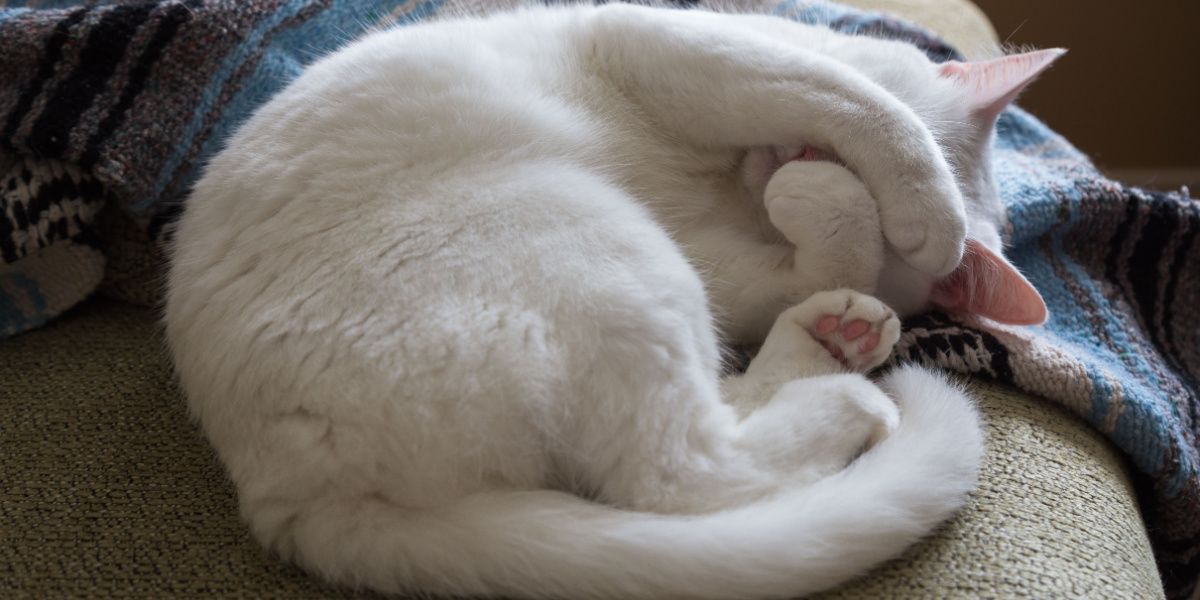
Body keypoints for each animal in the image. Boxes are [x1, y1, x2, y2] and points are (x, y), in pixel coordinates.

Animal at [162, 5, 1060, 600]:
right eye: (811, 147)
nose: (789, 165)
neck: (726, 195)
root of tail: (288, 495)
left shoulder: (729, 264)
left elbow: (823, 251)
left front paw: (846, 223)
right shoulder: (683, 50)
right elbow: (863, 105)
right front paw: (914, 208)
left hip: (630, 262)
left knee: (688, 460)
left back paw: (835, 346)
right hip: (598, 240)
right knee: (679, 472)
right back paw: (845, 383)